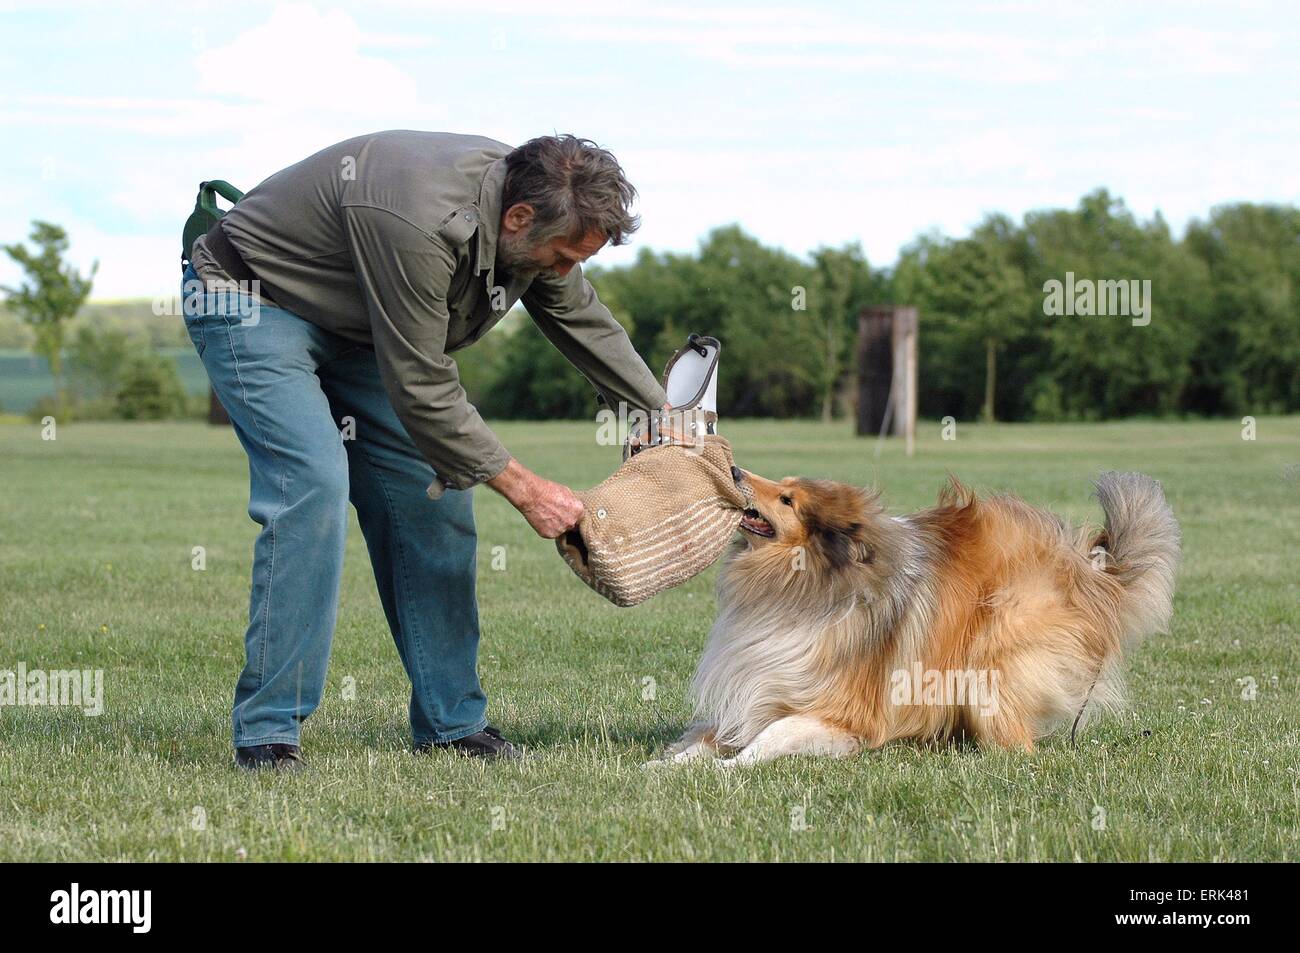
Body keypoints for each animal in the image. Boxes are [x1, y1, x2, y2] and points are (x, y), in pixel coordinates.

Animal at [660, 470, 1180, 764]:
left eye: (788, 499)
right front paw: (665, 766)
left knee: (1017, 740)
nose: (732, 468)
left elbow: (770, 735)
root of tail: (1089, 567)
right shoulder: (762, 690)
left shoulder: (842, 713)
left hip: (995, 654)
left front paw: (729, 768)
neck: (806, 582)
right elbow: (707, 737)